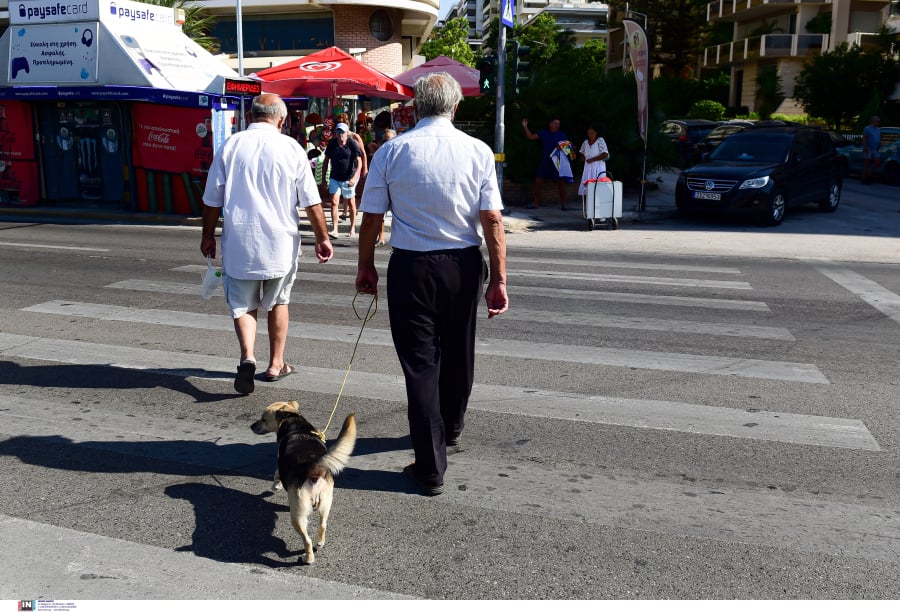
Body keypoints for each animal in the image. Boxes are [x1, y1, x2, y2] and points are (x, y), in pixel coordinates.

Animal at [251, 402, 356, 564]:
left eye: (263, 419)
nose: (251, 426)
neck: (296, 426)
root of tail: (312, 469)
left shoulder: (279, 464)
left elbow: (276, 474)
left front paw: (275, 486)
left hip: (297, 517)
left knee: (307, 540)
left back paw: (308, 559)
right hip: (325, 504)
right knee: (322, 525)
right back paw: (320, 542)